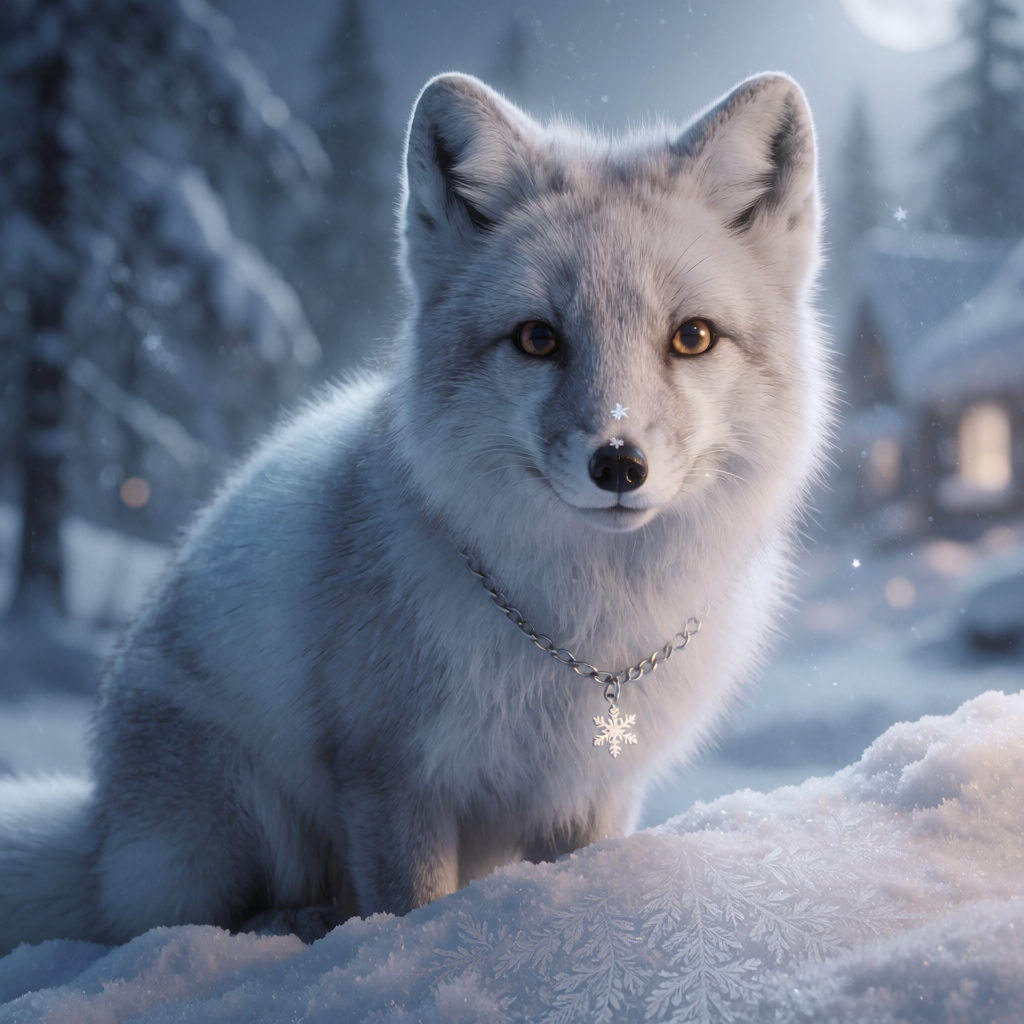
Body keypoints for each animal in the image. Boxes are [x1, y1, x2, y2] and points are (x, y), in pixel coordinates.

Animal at [0, 70, 830, 951]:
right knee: (165, 924)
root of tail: (97, 831)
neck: (579, 632)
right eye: (538, 339)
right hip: (226, 812)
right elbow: (410, 908)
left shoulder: (589, 792)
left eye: (693, 337)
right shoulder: (391, 776)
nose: (618, 465)